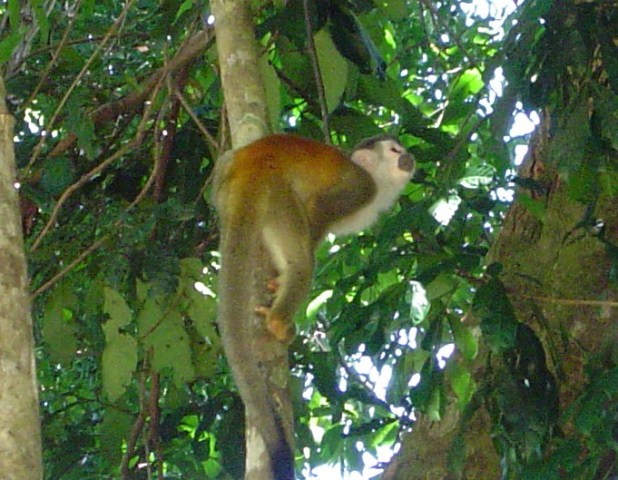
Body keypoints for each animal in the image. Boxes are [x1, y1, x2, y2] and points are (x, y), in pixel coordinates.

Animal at [212, 132, 414, 480]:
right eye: (393, 150)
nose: (408, 157)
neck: (379, 182)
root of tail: (254, 160)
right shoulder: (362, 187)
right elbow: (317, 211)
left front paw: (277, 281)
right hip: (278, 196)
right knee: (303, 259)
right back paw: (278, 321)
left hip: (224, 177)